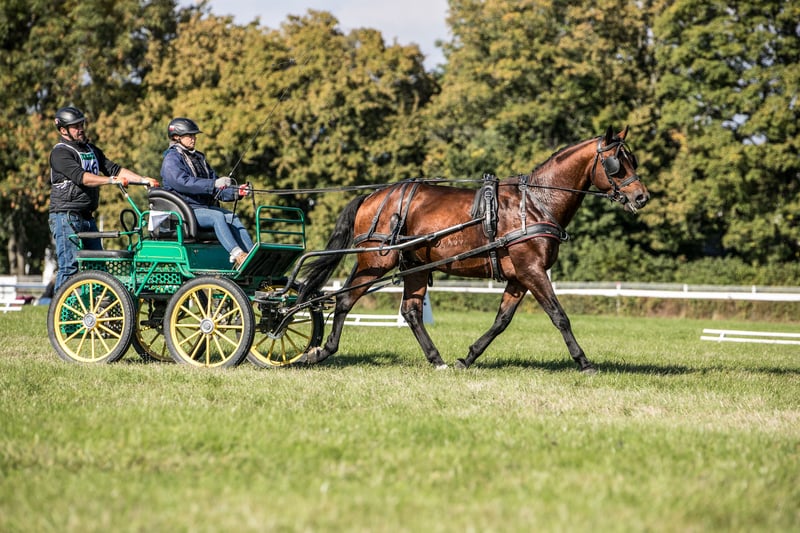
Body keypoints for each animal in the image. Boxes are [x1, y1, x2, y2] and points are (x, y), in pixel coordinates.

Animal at [297, 126, 649, 372]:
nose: (642, 197)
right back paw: (321, 351)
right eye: (617, 164)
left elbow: (501, 320)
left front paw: (467, 358)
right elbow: (559, 316)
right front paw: (584, 362)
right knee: (344, 300)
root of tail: (374, 196)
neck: (536, 202)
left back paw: (436, 359)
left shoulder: (519, 276)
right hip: (376, 261)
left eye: (632, 160)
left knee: (411, 311)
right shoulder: (532, 271)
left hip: (414, 267)